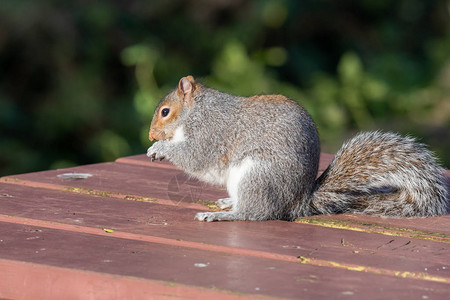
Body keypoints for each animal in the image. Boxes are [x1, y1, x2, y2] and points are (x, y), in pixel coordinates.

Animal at [147, 75, 446, 220]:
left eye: (165, 112)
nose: (150, 136)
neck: (196, 111)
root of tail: (299, 202)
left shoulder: (210, 132)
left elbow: (195, 156)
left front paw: (162, 149)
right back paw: (227, 202)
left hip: (256, 175)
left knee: (257, 213)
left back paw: (224, 215)